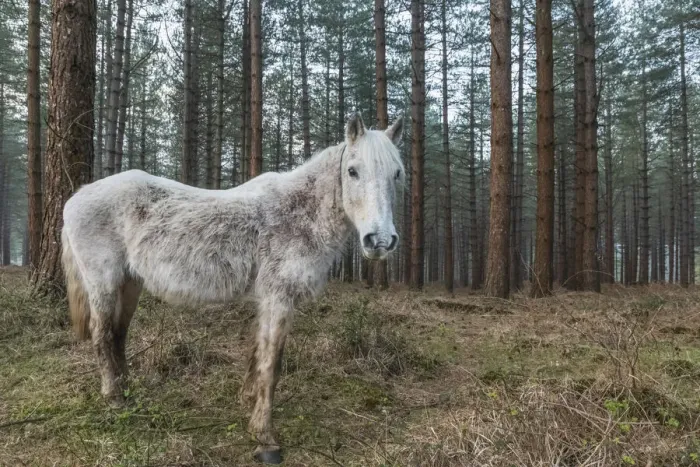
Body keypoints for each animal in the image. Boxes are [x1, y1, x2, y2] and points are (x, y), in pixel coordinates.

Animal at [62, 113, 404, 464]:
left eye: (397, 173)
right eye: (352, 171)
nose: (379, 241)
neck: (298, 212)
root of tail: (77, 197)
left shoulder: (269, 300)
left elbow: (259, 352)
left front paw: (248, 401)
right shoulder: (279, 298)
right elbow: (272, 363)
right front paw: (265, 439)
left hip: (130, 283)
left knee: (118, 335)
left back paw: (130, 394)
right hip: (103, 282)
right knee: (102, 335)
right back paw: (114, 398)